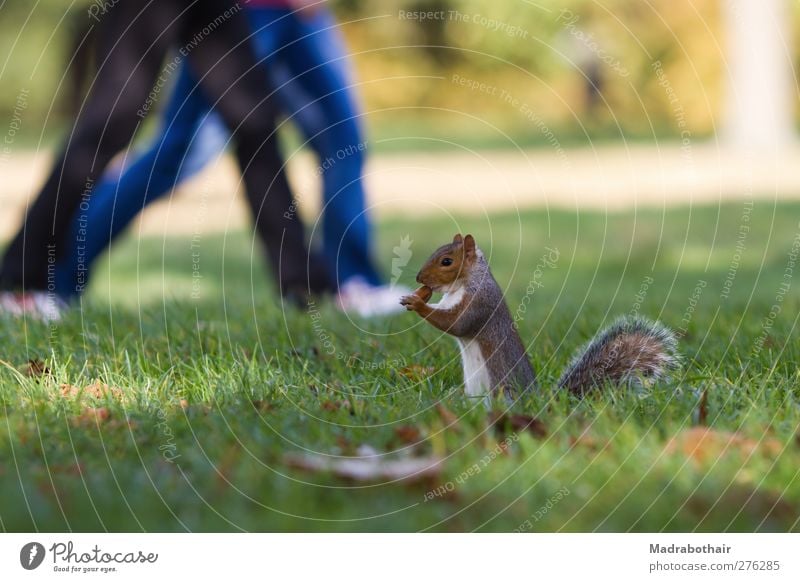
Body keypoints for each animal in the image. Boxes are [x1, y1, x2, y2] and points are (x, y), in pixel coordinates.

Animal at [396, 233, 680, 402]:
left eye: (446, 261)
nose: (419, 278)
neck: (464, 284)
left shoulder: (480, 304)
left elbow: (456, 323)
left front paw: (418, 303)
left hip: (504, 393)